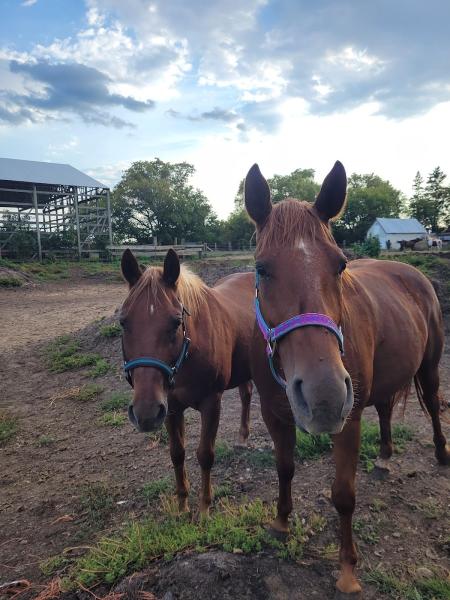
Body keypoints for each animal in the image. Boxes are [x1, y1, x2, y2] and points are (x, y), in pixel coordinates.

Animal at [244, 162, 448, 596]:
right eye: (261, 268)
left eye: (340, 264)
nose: (323, 396)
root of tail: (412, 272)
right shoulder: (274, 414)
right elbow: (284, 468)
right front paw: (280, 523)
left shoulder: (349, 420)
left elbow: (343, 495)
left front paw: (348, 570)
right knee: (386, 409)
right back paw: (385, 457)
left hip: (429, 367)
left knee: (434, 405)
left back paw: (442, 453)